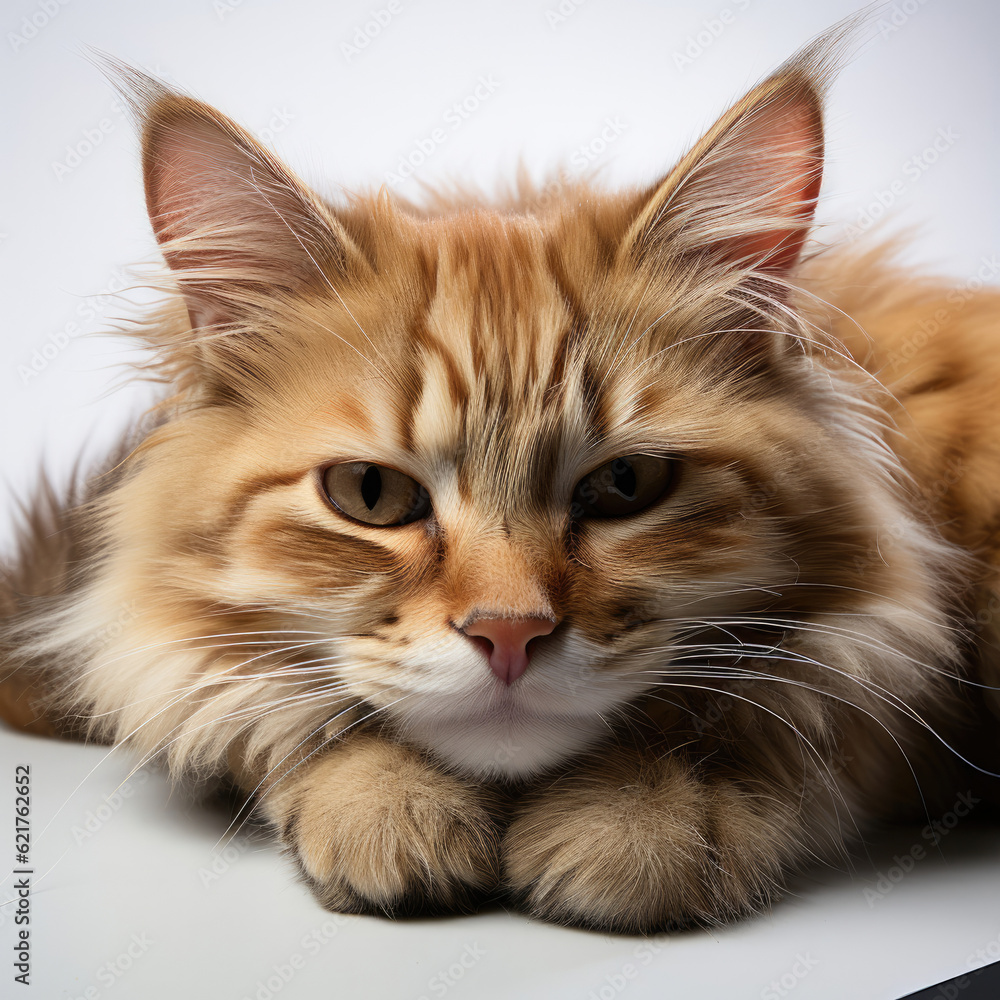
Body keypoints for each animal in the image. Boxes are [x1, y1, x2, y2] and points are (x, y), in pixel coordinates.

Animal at [1, 29, 1000, 936]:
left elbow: (762, 724)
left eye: (627, 484)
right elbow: (270, 717)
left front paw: (643, 817)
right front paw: (384, 807)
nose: (510, 634)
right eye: (370, 495)